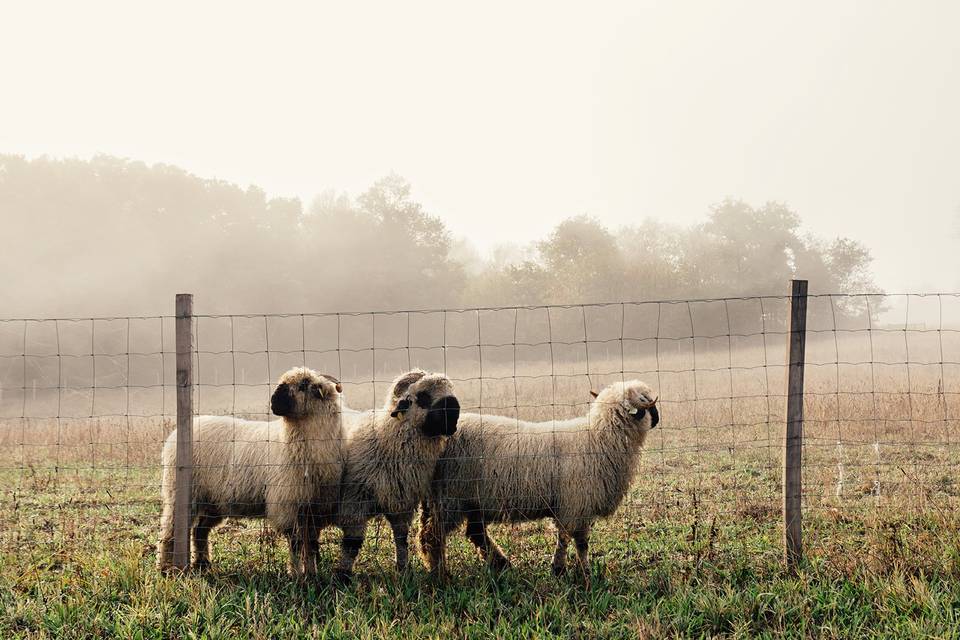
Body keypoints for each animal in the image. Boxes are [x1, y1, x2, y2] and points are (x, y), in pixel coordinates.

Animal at [156, 367, 345, 577]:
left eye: (302, 386)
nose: (273, 402)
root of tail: (174, 437)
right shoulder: (286, 504)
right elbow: (295, 543)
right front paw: (296, 574)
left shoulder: (313, 508)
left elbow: (310, 544)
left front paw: (311, 573)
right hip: (181, 494)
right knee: (170, 530)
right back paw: (166, 567)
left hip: (214, 500)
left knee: (199, 530)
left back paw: (203, 564)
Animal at [330, 369, 460, 581]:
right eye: (423, 396)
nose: (454, 413)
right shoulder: (354, 503)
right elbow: (352, 544)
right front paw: (343, 575)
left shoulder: (401, 503)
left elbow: (401, 539)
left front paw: (403, 569)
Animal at [419, 380, 659, 578]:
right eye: (646, 400)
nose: (656, 419)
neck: (599, 437)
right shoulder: (575, 504)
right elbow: (575, 541)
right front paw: (573, 570)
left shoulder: (575, 506)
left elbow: (572, 539)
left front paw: (568, 569)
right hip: (450, 497)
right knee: (433, 536)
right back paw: (439, 572)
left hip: (469, 499)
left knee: (474, 533)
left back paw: (501, 563)